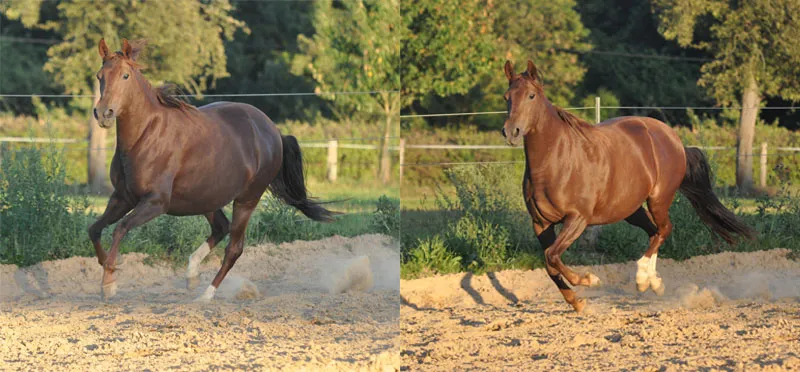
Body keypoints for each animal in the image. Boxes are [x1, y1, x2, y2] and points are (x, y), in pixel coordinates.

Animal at [88, 39, 334, 302]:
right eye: (100, 76)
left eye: (125, 75)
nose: (103, 113)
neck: (144, 136)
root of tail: (274, 131)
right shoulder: (122, 197)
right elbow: (94, 229)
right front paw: (110, 267)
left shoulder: (155, 202)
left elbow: (120, 228)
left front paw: (109, 282)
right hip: (206, 197)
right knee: (221, 228)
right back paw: (192, 275)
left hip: (247, 199)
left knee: (234, 248)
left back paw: (206, 295)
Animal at [504, 59, 752, 312]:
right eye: (507, 97)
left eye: (532, 95)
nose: (511, 131)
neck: (557, 162)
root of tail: (674, 139)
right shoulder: (540, 224)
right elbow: (549, 262)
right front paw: (577, 301)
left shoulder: (578, 218)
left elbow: (552, 256)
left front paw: (590, 280)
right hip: (631, 209)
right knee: (654, 232)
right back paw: (654, 283)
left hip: (658, 199)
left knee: (664, 229)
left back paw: (642, 279)